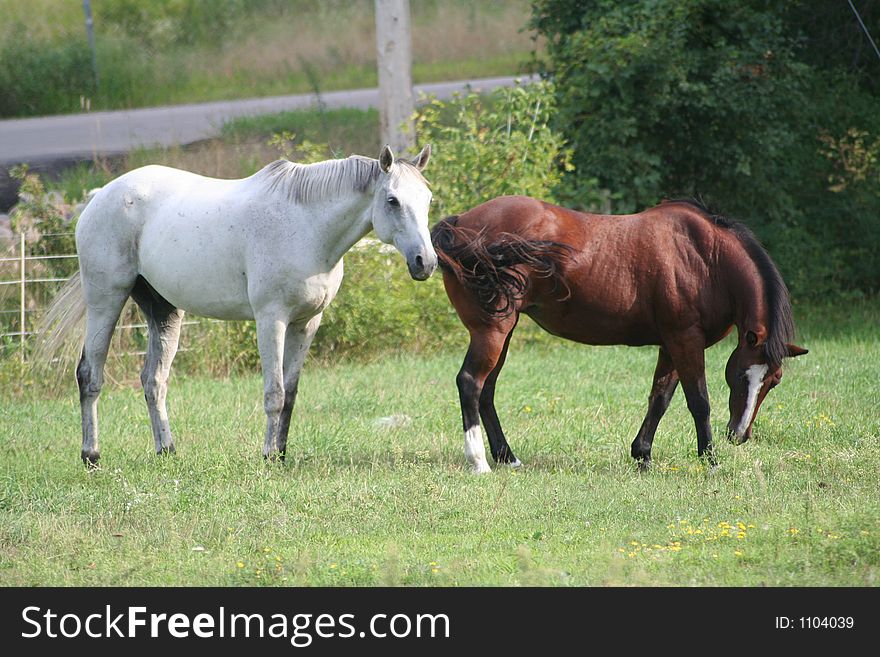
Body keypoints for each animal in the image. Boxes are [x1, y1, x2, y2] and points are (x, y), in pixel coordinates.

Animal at [50, 145, 434, 462]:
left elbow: (291, 393)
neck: (306, 226)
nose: (425, 262)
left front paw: (281, 454)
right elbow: (274, 393)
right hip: (106, 299)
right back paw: (91, 455)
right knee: (89, 374)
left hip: (164, 311)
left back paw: (167, 450)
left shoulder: (307, 322)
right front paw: (267, 456)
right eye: (392, 200)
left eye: (428, 199)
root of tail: (101, 195)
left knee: (153, 380)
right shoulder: (271, 319)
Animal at [430, 195, 808, 472]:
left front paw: (643, 455)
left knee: (487, 391)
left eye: (773, 381)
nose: (739, 435)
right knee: (470, 383)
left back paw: (508, 457)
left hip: (503, 332)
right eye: (742, 377)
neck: (705, 257)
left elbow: (660, 398)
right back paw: (479, 461)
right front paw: (710, 460)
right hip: (492, 331)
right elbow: (699, 401)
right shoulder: (686, 340)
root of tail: (460, 224)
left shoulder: (672, 344)